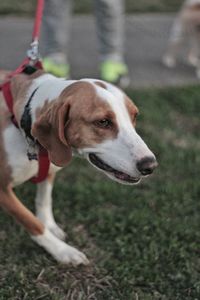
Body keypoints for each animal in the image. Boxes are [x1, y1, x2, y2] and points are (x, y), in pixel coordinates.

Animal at [0, 71, 158, 268]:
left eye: (134, 116)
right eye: (103, 122)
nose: (150, 165)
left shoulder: (50, 169)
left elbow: (44, 200)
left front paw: (51, 226)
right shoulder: (3, 190)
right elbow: (32, 221)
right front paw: (62, 251)